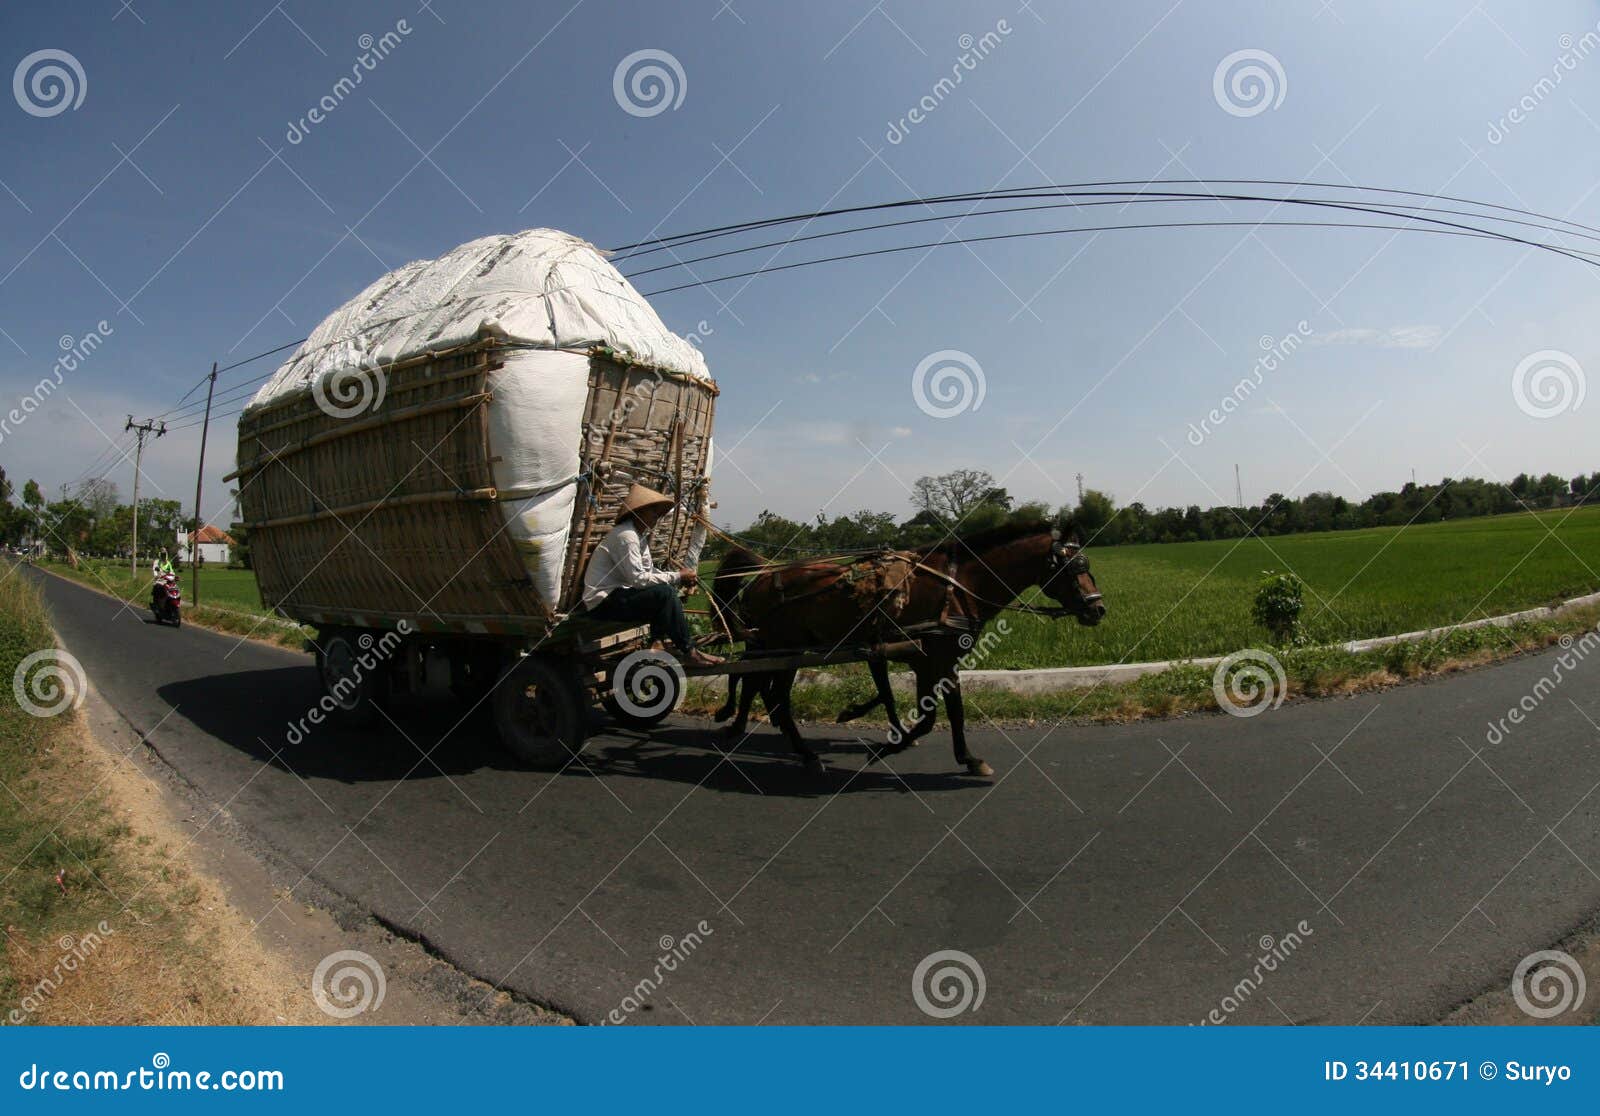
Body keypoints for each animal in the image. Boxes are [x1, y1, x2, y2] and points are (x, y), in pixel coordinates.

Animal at [707, 519, 1106, 776]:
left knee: (764, 689)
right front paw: (888, 746)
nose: (1098, 609)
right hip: (781, 648)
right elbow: (927, 715)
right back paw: (799, 750)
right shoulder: (930, 659)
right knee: (771, 693)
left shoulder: (936, 660)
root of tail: (762, 574)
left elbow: (950, 711)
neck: (958, 587)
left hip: (779, 650)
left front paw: (967, 758)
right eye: (1073, 565)